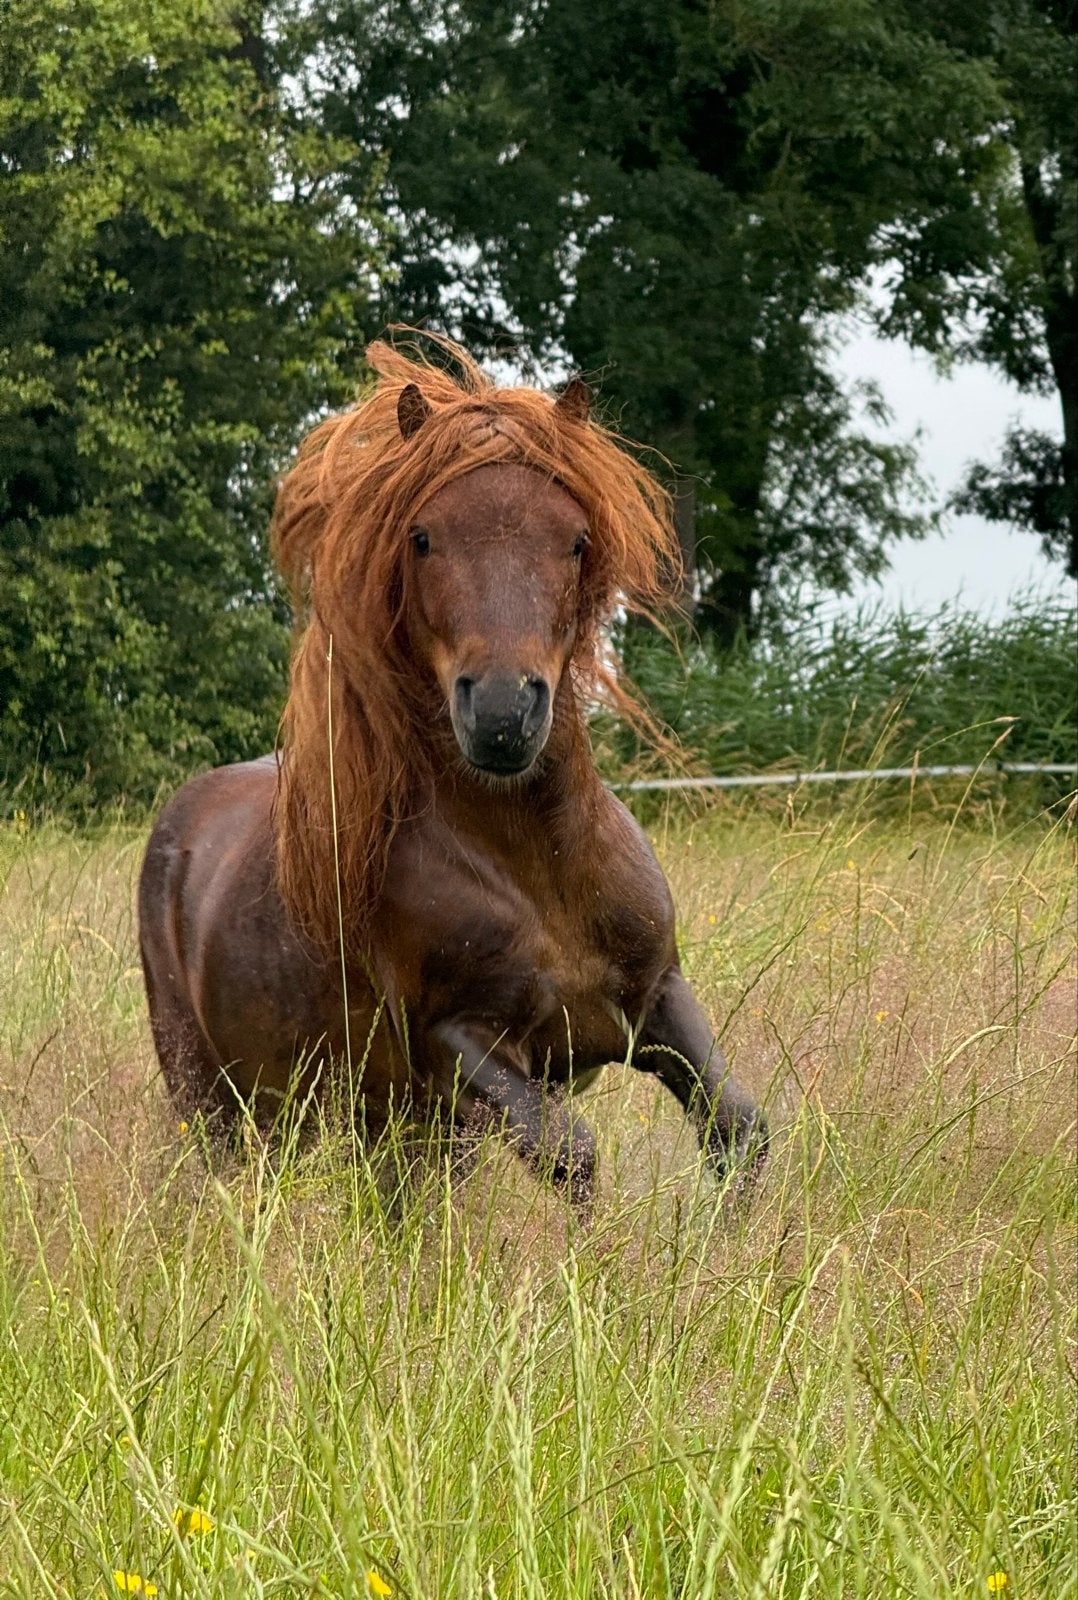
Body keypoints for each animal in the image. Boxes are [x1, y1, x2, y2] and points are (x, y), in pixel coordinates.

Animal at [138, 334, 767, 1206]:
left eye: (575, 539)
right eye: (423, 536)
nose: (503, 713)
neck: (541, 870)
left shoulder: (658, 1000)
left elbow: (738, 1129)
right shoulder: (461, 1043)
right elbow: (572, 1155)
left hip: (388, 1119)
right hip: (224, 1099)